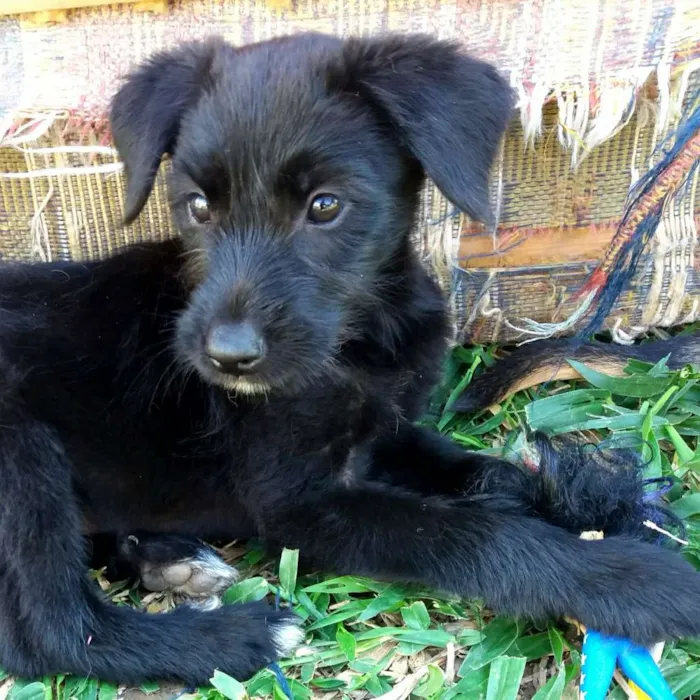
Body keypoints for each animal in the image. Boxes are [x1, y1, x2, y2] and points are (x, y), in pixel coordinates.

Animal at [1, 31, 700, 684]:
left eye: (326, 205)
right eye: (198, 206)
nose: (227, 357)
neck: (361, 342)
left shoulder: (385, 431)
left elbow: (483, 474)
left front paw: (596, 505)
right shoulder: (301, 505)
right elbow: (472, 533)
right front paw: (626, 578)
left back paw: (168, 559)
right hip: (24, 457)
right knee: (51, 632)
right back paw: (236, 637)